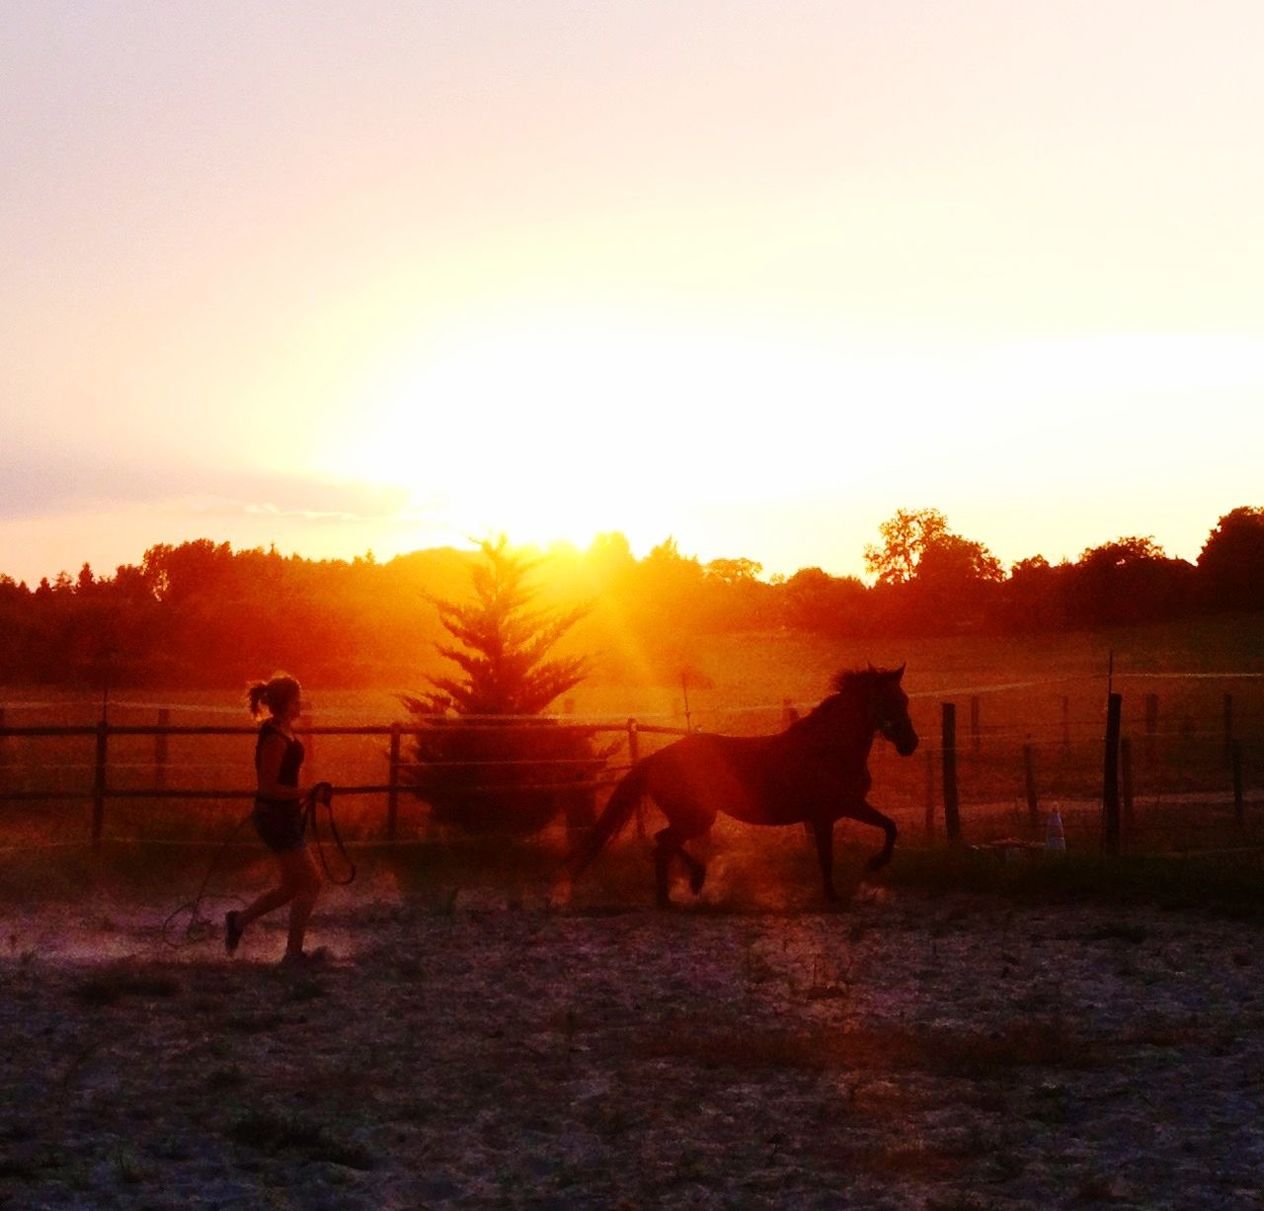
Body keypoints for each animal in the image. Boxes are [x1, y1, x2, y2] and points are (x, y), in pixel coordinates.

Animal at [571, 662, 920, 910]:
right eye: (886, 700)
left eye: (904, 699)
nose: (910, 744)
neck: (829, 748)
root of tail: (656, 759)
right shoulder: (825, 816)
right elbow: (829, 856)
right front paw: (839, 892)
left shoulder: (848, 806)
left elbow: (889, 826)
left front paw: (871, 866)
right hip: (697, 817)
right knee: (663, 843)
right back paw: (690, 884)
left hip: (694, 817)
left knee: (663, 843)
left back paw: (669, 896)